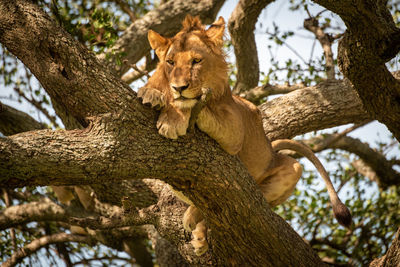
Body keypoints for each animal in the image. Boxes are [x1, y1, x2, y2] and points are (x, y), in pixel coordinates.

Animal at [138, 15, 350, 256]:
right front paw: (152, 92)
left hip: (292, 169)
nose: (179, 87)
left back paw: (196, 221)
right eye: (171, 62)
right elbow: (158, 82)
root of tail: (271, 148)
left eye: (196, 61)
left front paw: (173, 117)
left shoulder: (235, 128)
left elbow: (195, 106)